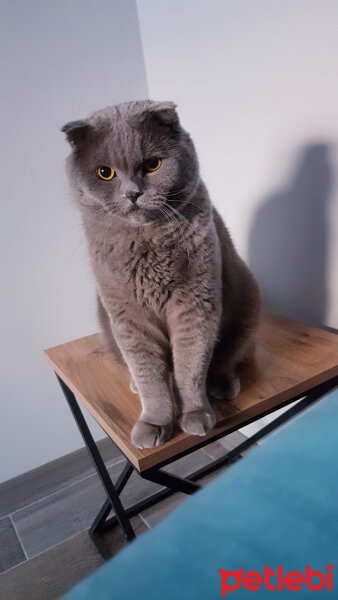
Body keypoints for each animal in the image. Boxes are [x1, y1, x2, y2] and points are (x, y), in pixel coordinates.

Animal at [61, 101, 262, 448]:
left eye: (152, 164)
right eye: (105, 172)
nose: (132, 193)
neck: (146, 244)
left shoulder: (195, 306)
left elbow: (190, 367)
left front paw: (194, 414)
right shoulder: (127, 317)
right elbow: (149, 376)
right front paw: (154, 422)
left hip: (246, 298)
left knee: (230, 353)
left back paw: (222, 382)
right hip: (105, 321)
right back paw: (133, 383)